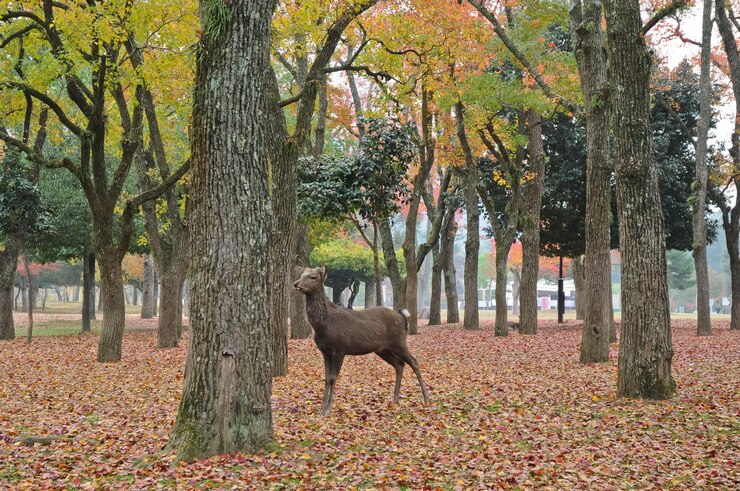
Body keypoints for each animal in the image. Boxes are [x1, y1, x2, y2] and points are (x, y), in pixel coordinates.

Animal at [292, 268, 430, 418]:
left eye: (313, 277)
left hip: (399, 342)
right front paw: (321, 410)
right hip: (382, 349)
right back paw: (395, 400)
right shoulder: (325, 351)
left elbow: (333, 378)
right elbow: (326, 379)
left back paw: (426, 399)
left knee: (414, 362)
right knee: (399, 364)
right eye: (302, 275)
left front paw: (327, 410)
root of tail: (403, 316)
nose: (296, 284)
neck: (322, 327)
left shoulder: (339, 349)